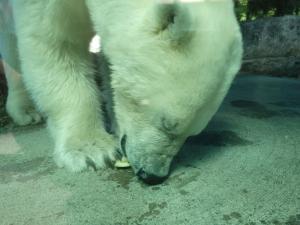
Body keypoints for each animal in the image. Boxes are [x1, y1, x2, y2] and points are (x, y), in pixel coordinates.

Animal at [0, 0, 243, 185]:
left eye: (193, 134)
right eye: (167, 124)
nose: (153, 174)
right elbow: (55, 43)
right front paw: (92, 151)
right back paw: (25, 111)